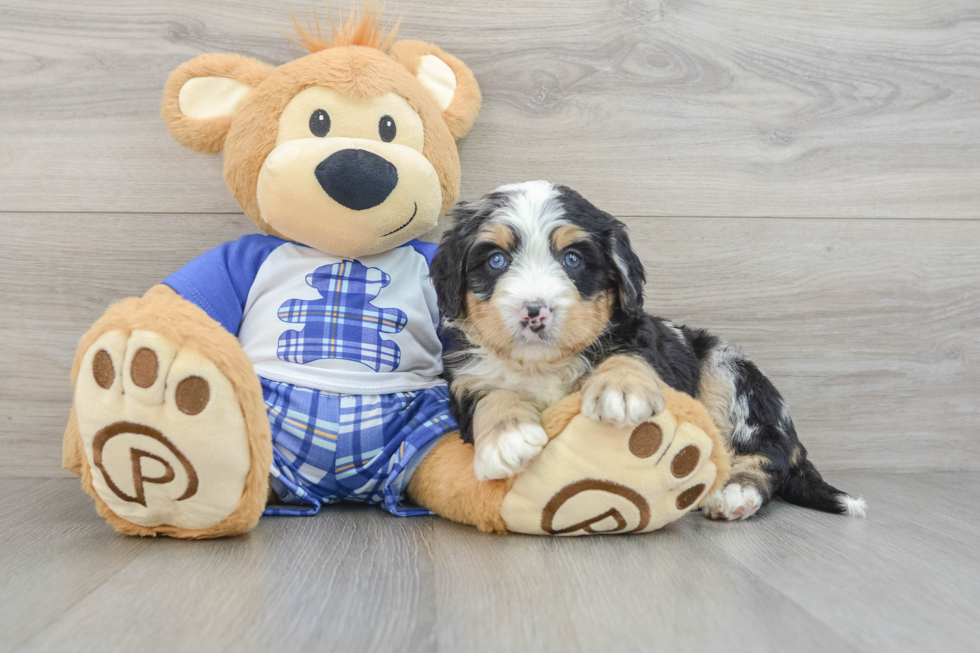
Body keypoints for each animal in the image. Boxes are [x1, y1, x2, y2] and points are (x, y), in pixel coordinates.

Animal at [428, 181, 864, 524]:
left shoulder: (642, 340)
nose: (534, 312)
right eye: (496, 260)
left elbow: (628, 356)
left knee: (766, 455)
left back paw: (735, 495)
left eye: (572, 258)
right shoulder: (465, 376)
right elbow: (494, 393)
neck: (543, 365)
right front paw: (508, 439)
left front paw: (622, 393)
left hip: (729, 371)